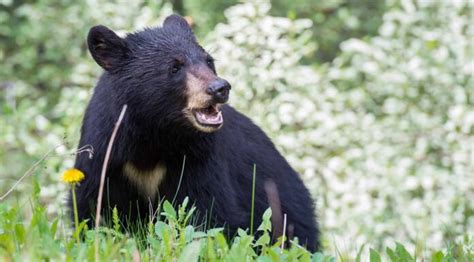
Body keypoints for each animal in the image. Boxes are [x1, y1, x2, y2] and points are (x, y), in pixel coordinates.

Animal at [73, 14, 318, 252]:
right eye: (174, 67)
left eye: (209, 61)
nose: (220, 88)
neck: (153, 132)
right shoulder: (106, 152)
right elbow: (94, 207)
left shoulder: (198, 157)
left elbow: (207, 211)